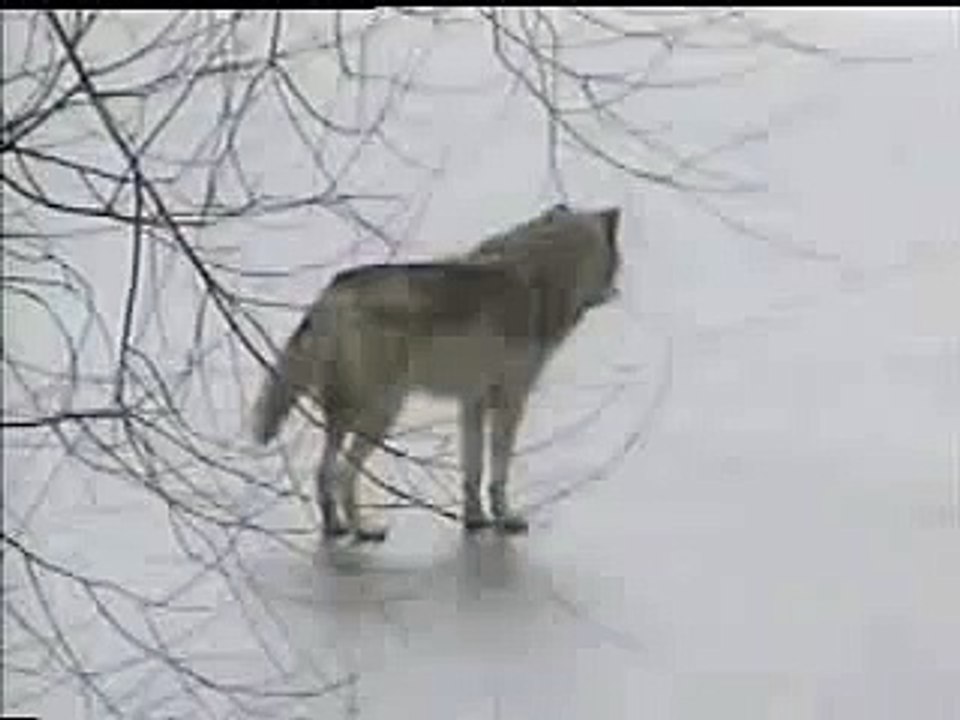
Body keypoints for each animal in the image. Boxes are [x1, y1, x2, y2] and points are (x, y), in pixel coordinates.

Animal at [251, 203, 622, 542]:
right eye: (617, 263)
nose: (616, 291)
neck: (542, 276)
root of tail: (332, 292)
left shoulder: (472, 403)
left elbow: (473, 470)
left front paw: (474, 520)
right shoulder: (511, 401)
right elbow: (498, 471)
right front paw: (504, 518)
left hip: (346, 416)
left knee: (324, 472)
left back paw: (335, 527)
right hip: (382, 412)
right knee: (343, 473)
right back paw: (364, 529)